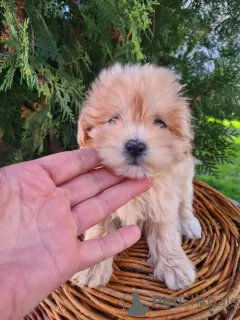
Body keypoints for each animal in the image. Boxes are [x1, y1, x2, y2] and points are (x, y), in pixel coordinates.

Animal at [72, 63, 202, 292]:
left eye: (160, 123)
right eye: (112, 120)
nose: (135, 146)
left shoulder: (164, 204)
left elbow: (167, 234)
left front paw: (176, 268)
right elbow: (99, 230)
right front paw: (92, 269)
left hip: (186, 178)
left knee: (185, 203)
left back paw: (190, 225)